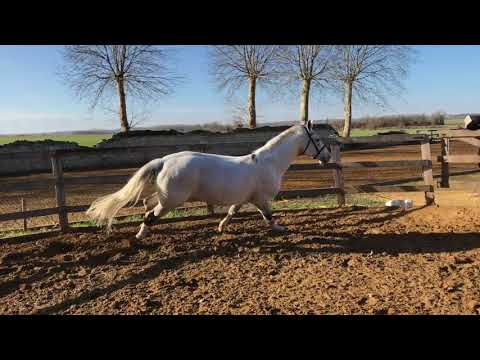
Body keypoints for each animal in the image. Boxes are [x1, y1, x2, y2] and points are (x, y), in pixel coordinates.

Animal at [86, 121, 332, 242]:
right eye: (317, 139)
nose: (328, 157)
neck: (269, 163)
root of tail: (165, 160)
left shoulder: (243, 199)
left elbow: (231, 213)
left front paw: (221, 228)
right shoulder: (261, 199)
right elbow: (268, 217)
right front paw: (281, 229)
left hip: (165, 197)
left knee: (147, 206)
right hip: (171, 201)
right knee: (150, 215)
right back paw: (139, 236)